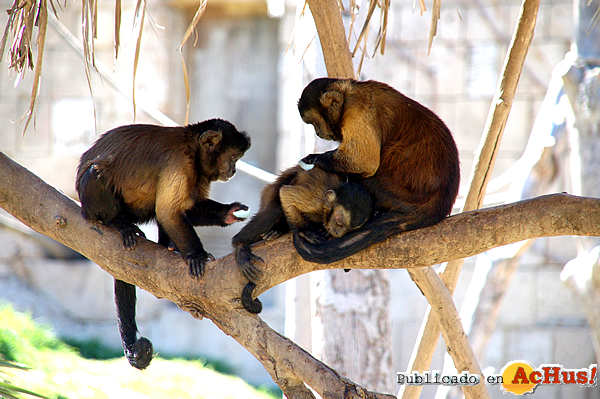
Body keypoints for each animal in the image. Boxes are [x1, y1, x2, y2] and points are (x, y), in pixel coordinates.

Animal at [76, 119, 250, 372]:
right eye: (233, 158)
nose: (234, 169)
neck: (194, 148)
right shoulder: (182, 163)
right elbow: (169, 211)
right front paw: (196, 254)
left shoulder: (197, 173)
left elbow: (185, 209)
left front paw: (229, 212)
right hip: (94, 203)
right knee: (95, 174)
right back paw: (117, 223)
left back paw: (169, 246)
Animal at [232, 164, 372, 314]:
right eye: (339, 223)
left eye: (348, 230)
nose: (338, 233)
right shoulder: (316, 199)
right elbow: (286, 195)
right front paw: (304, 232)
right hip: (269, 192)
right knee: (273, 209)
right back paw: (240, 244)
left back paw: (278, 230)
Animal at [294, 78, 460, 266]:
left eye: (315, 123)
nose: (317, 132)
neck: (348, 93)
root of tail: (438, 206)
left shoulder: (357, 110)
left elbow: (364, 162)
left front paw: (314, 159)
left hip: (402, 196)